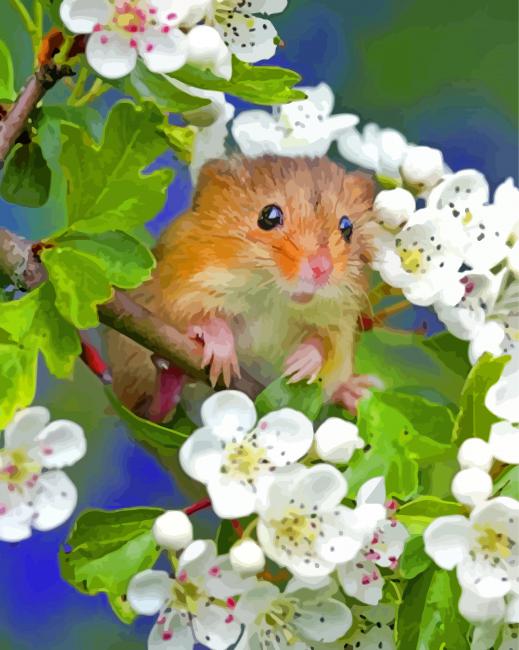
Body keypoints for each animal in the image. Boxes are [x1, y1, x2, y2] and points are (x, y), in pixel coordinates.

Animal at [107, 155, 380, 421]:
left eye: (347, 227)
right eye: (269, 216)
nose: (322, 269)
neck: (274, 298)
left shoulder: (340, 320)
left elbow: (325, 344)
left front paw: (301, 363)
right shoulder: (185, 287)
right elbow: (199, 317)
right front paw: (221, 351)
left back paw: (355, 392)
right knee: (151, 413)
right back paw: (171, 376)